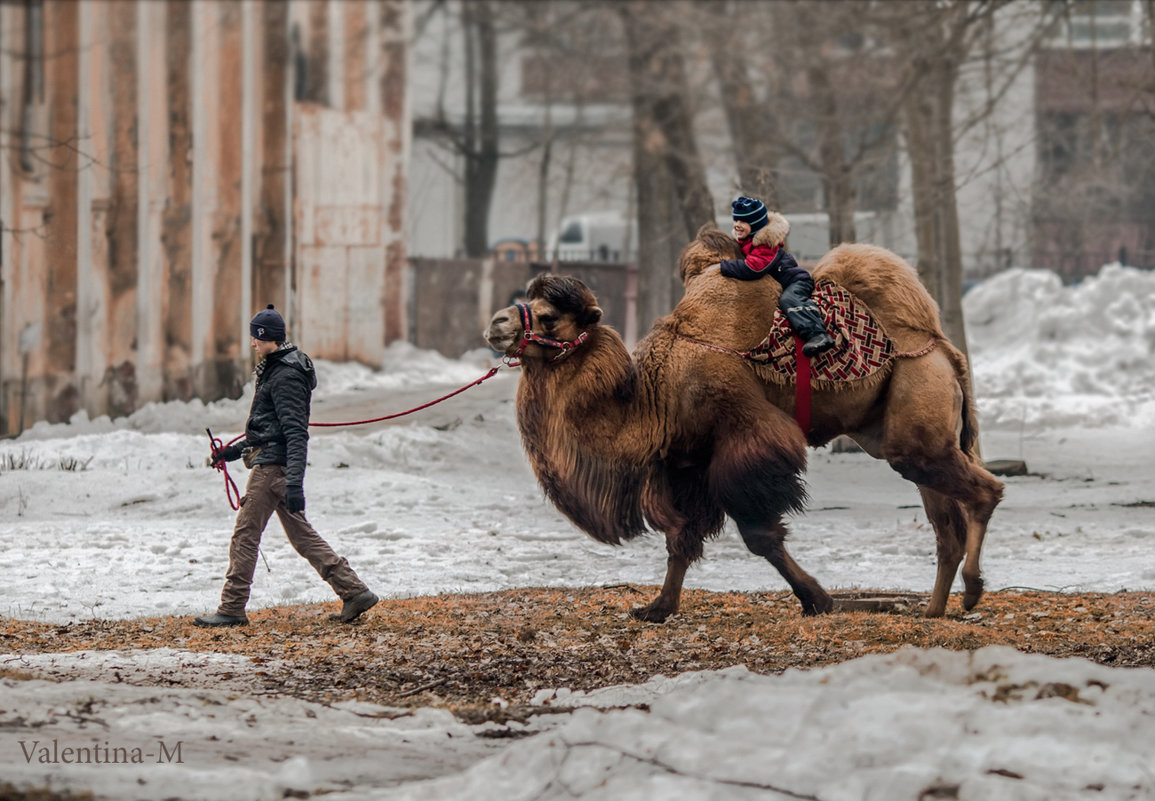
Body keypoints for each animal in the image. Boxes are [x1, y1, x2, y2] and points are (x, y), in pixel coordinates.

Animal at [485, 228, 1002, 623]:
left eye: (550, 317)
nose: (496, 324)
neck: (654, 395)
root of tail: (942, 348)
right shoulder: (685, 463)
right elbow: (680, 538)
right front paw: (656, 608)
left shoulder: (746, 440)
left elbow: (759, 536)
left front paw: (817, 599)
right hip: (906, 441)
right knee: (945, 527)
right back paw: (933, 610)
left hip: (919, 421)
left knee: (986, 491)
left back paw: (973, 591)